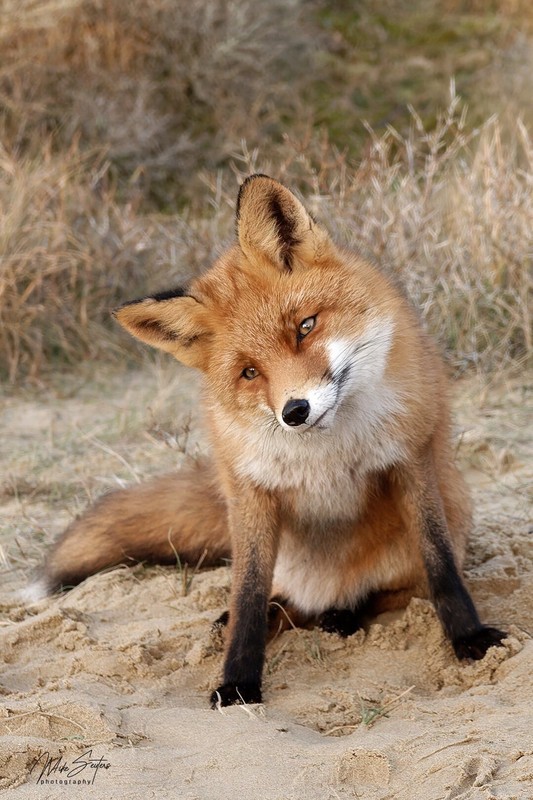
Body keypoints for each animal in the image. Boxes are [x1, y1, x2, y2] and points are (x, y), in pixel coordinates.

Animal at [30, 174, 506, 707]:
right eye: (249, 373)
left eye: (305, 327)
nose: (295, 412)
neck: (327, 452)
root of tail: (325, 588)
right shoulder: (251, 492)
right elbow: (248, 596)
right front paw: (237, 679)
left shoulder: (410, 459)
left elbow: (440, 565)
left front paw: (469, 638)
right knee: (278, 604)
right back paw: (268, 618)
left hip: (448, 508)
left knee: (384, 595)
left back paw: (344, 615)